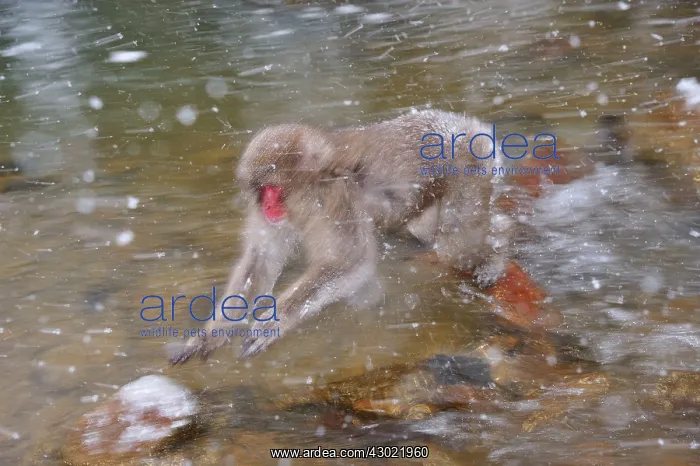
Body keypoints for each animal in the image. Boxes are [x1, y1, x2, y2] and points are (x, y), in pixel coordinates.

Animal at [170, 110, 545, 365]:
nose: (267, 207)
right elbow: (261, 260)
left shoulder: (338, 201)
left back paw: (499, 248)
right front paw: (212, 335)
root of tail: (469, 125)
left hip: (468, 166)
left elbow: (348, 262)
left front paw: (272, 325)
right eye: (261, 193)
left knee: (459, 242)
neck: (314, 183)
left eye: (274, 190)